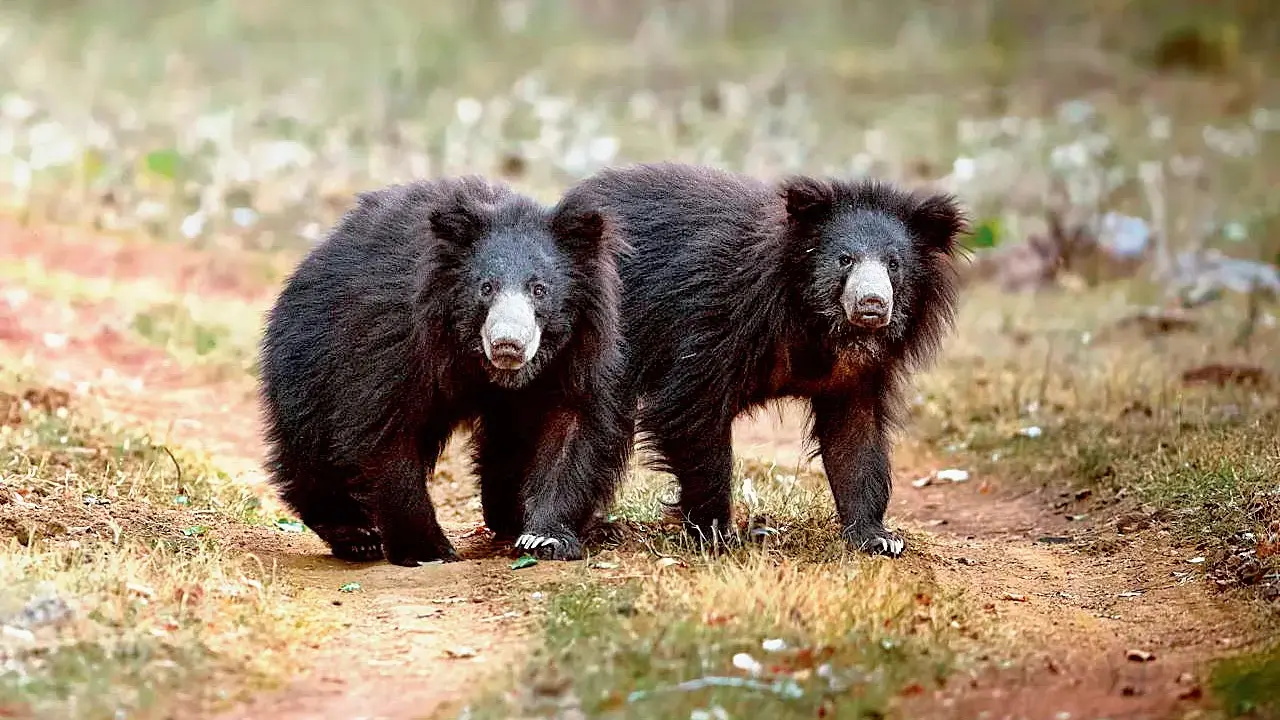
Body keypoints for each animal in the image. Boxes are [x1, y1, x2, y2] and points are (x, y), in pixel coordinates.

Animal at [257, 176, 631, 566]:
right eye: (486, 287)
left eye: (539, 290)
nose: (507, 344)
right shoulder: (399, 337)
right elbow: (386, 429)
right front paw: (427, 550)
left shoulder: (578, 347)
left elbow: (572, 423)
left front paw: (544, 538)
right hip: (310, 355)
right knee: (311, 441)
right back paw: (355, 535)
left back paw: (507, 516)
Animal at [560, 162, 968, 557]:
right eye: (845, 260)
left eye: (894, 264)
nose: (872, 303)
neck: (816, 319)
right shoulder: (723, 313)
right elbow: (691, 408)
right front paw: (717, 535)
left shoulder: (858, 373)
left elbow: (855, 435)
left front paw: (877, 537)